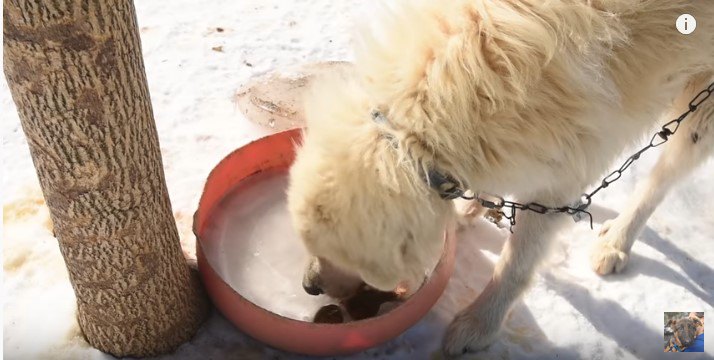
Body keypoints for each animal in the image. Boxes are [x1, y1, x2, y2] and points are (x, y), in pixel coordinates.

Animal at [286, 0, 712, 354]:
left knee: (665, 175)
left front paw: (479, 324)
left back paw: (618, 241)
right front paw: (466, 212)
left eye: (335, 254)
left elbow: (516, 263)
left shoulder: (561, 170)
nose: (308, 286)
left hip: (701, 106)